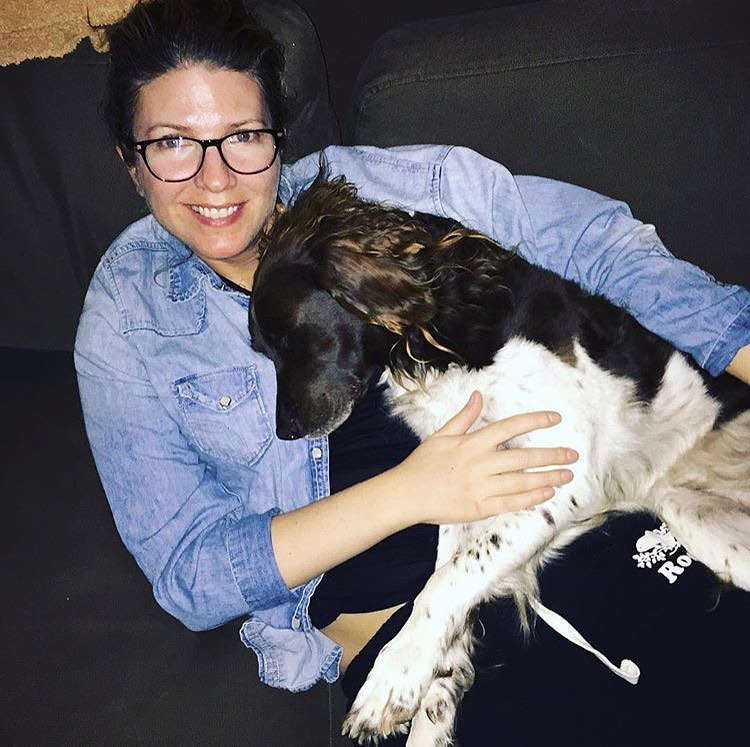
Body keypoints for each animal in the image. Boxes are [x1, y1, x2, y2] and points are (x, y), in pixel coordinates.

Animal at [249, 174, 750, 746]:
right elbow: (452, 586)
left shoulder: (561, 472)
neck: (439, 335)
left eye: (290, 337)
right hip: (705, 524)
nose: (285, 431)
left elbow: (444, 582)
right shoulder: (466, 483)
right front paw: (428, 705)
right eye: (264, 351)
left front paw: (391, 678)